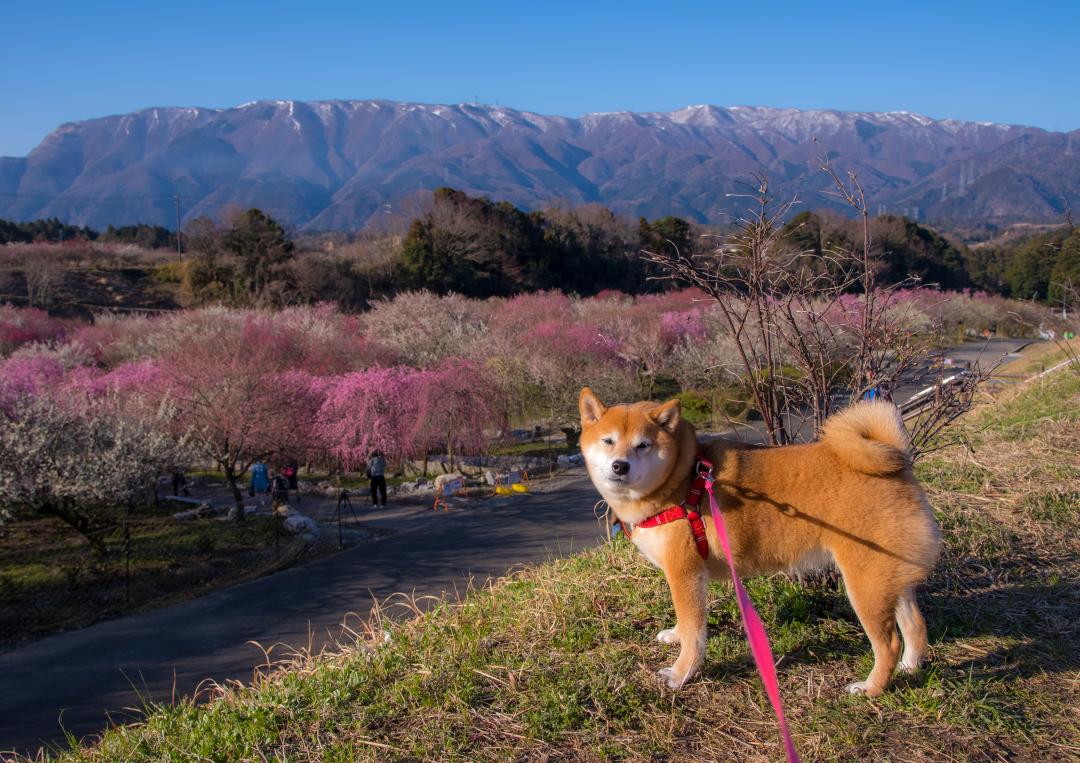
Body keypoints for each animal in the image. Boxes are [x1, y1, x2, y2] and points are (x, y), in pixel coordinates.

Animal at [578, 389, 941, 691]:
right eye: (608, 441)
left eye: (644, 445)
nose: (620, 466)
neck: (682, 481)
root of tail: (895, 462)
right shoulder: (687, 579)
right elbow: (686, 621)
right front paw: (675, 635)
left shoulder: (685, 572)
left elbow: (695, 632)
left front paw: (681, 674)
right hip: (888, 577)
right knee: (915, 625)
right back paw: (910, 667)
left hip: (864, 585)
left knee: (889, 644)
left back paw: (871, 688)